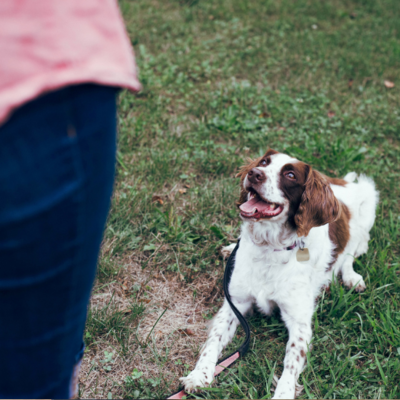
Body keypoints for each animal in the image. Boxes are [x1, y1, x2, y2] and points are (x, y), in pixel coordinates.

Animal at [181, 149, 378, 396]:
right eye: (264, 162)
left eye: (290, 175)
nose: (254, 173)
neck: (269, 247)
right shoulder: (235, 302)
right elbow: (213, 341)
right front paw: (199, 375)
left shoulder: (299, 322)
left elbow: (291, 363)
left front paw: (283, 393)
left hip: (368, 202)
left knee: (352, 251)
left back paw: (352, 277)